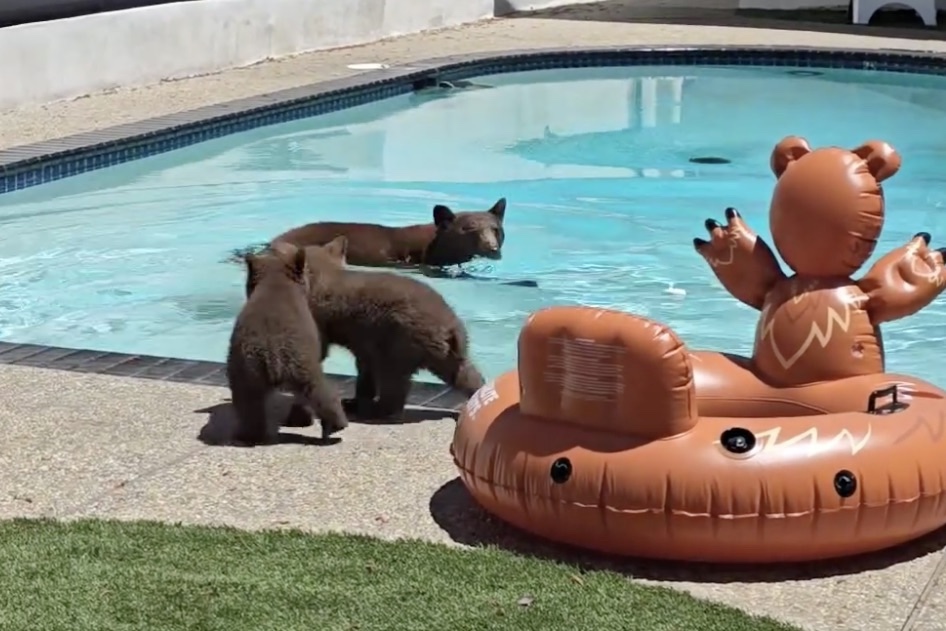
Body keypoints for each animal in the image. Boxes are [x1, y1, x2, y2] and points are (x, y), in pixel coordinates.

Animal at [226, 243, 349, 445]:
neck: (275, 280)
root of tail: (272, 352)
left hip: (247, 373)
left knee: (250, 407)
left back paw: (248, 435)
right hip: (305, 369)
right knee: (322, 394)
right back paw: (337, 426)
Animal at [296, 236, 486, 419]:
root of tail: (452, 325)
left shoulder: (319, 319)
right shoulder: (366, 343)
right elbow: (365, 371)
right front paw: (355, 401)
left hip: (403, 339)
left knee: (393, 379)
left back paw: (379, 411)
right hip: (445, 353)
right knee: (463, 374)